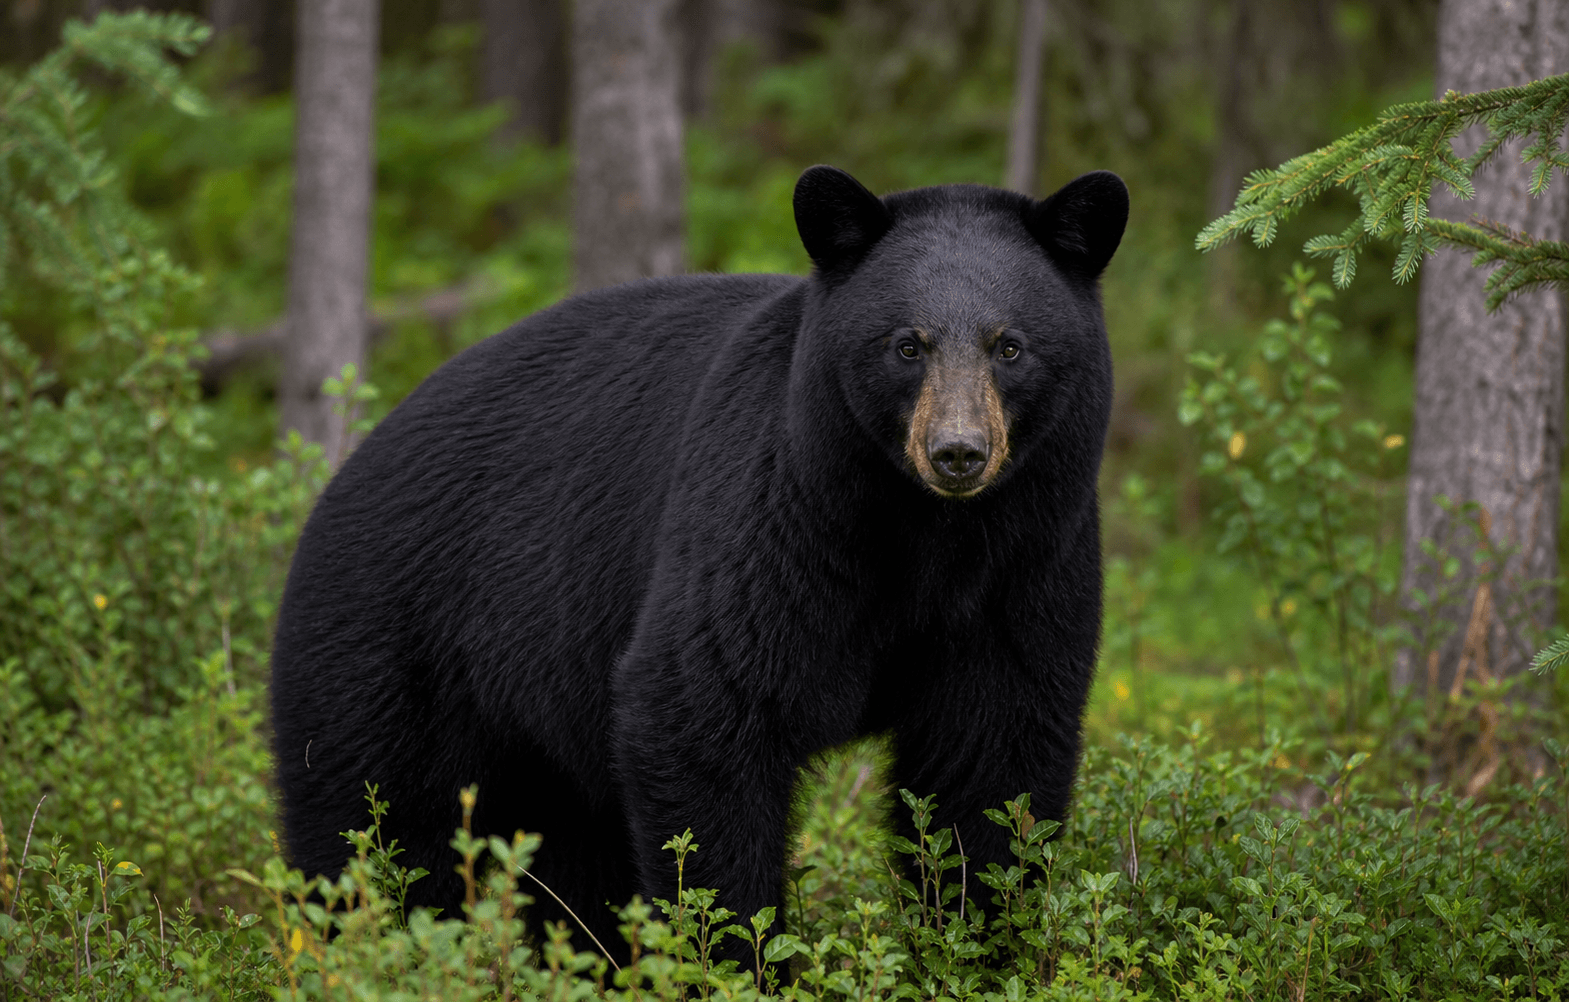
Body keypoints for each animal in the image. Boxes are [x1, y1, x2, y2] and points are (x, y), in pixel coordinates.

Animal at [270, 164, 1126, 959]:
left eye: (1008, 346)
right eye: (906, 344)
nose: (956, 453)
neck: (923, 533)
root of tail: (343, 470)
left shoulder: (1027, 564)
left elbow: (993, 766)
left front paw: (972, 948)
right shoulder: (769, 523)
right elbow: (704, 720)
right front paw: (737, 959)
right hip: (387, 646)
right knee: (371, 830)